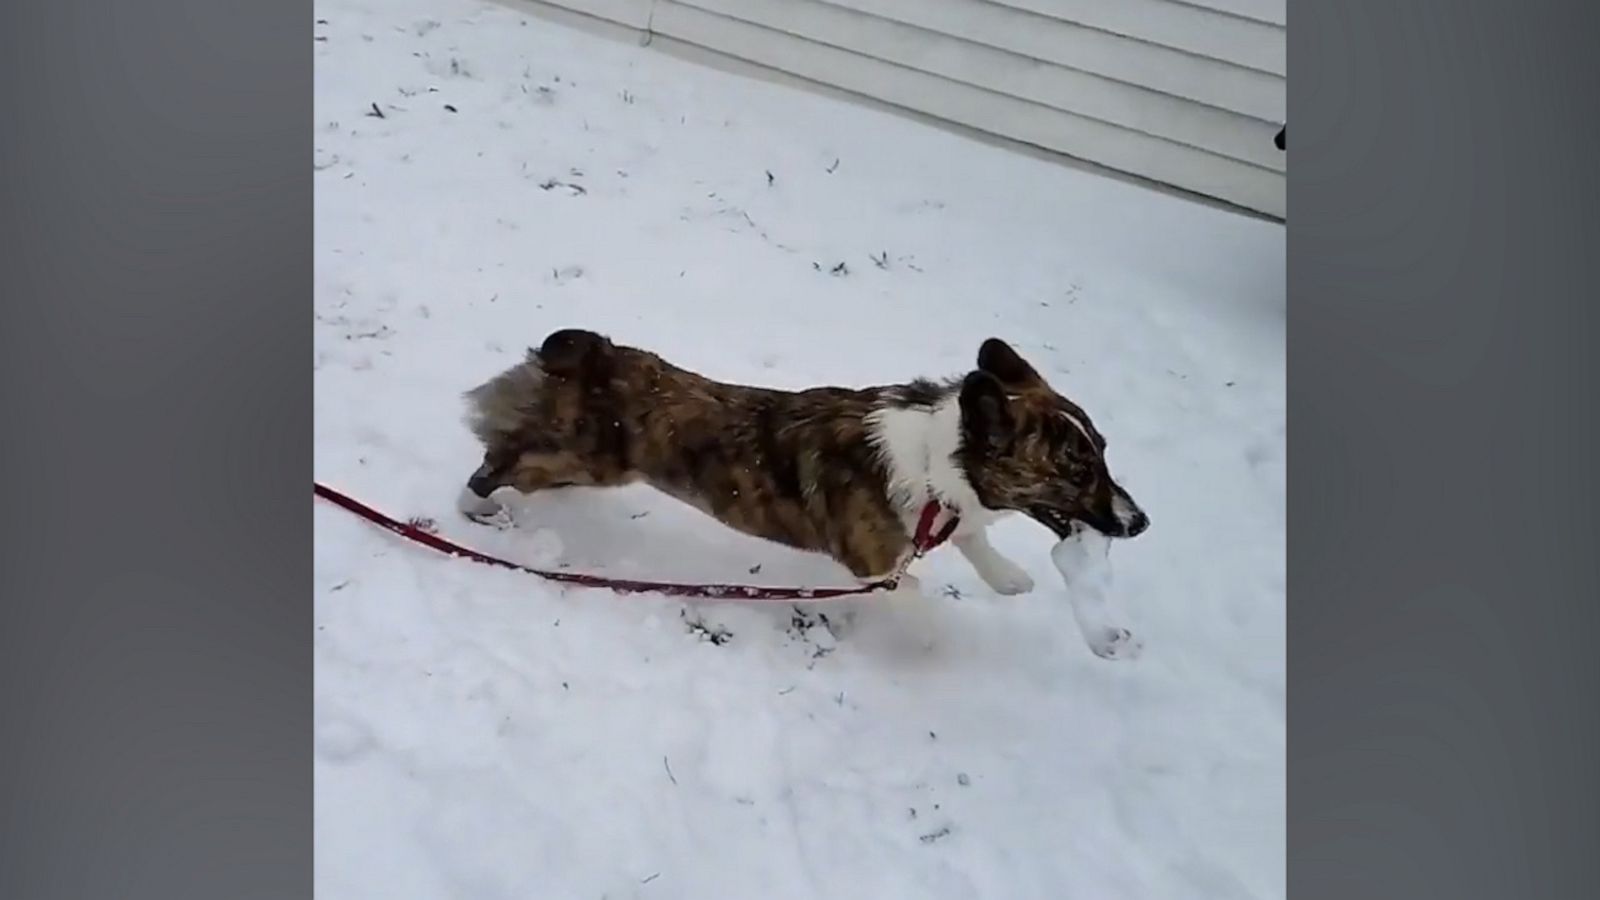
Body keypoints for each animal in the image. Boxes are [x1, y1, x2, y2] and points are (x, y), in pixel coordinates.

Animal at [457, 329, 1145, 595]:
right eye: (1076, 471)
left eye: (1105, 453)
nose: (1140, 524)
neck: (937, 458)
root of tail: (595, 351)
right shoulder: (875, 562)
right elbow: (908, 577)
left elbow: (971, 536)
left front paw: (1008, 577)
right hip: (581, 456)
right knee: (501, 456)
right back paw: (475, 507)